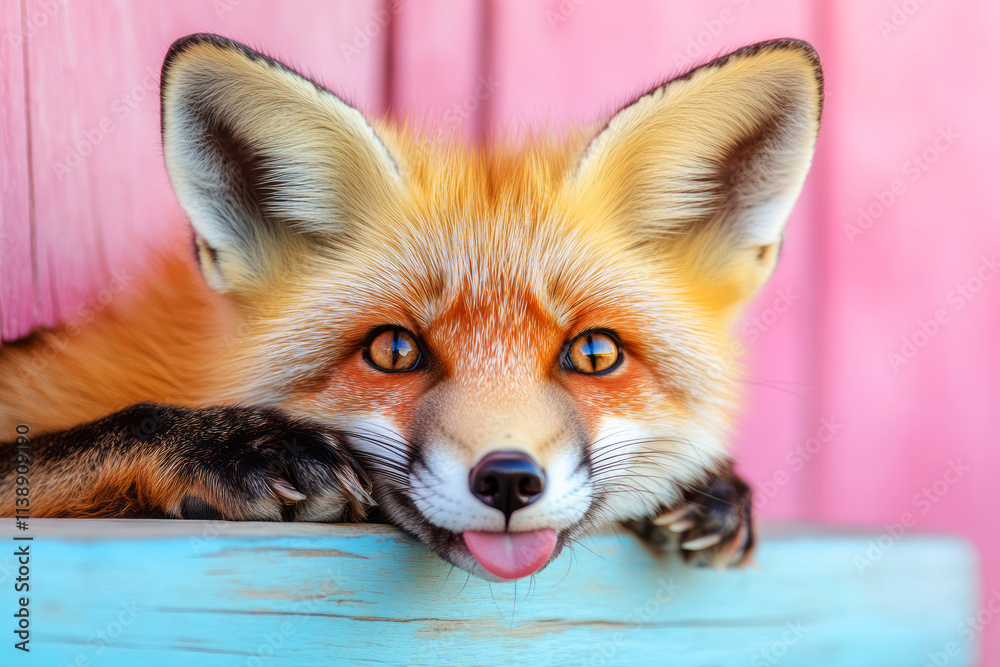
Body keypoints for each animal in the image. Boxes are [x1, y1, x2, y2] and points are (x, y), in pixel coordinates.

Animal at [0, 34, 822, 581]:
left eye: (595, 354)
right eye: (393, 350)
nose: (509, 481)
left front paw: (710, 487)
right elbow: (75, 443)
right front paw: (226, 446)